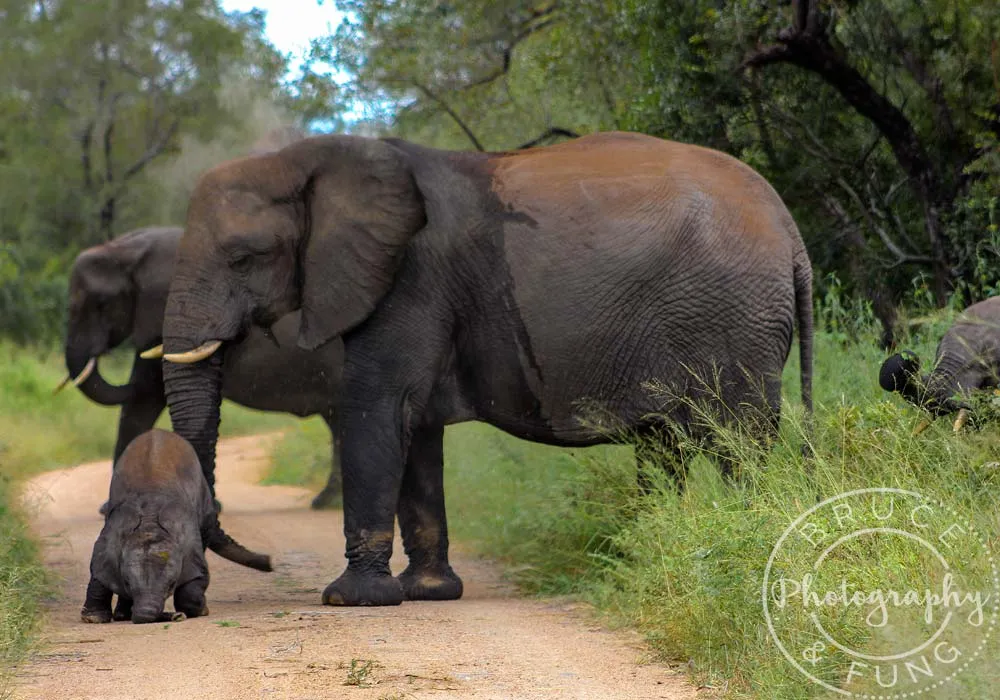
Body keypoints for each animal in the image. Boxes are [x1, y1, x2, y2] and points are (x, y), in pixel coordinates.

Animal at [81, 429, 271, 624]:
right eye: (127, 582)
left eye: (171, 585)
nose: (270, 562)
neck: (149, 523)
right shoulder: (114, 529)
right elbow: (99, 573)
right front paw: (94, 618)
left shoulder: (188, 535)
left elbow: (196, 576)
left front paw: (200, 611)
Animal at [158, 130, 814, 607]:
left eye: (243, 257)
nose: (265, 562)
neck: (307, 158)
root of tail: (791, 231)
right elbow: (415, 426)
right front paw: (428, 593)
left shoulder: (411, 279)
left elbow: (376, 407)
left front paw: (353, 600)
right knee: (664, 447)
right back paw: (648, 555)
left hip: (733, 321)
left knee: (739, 444)